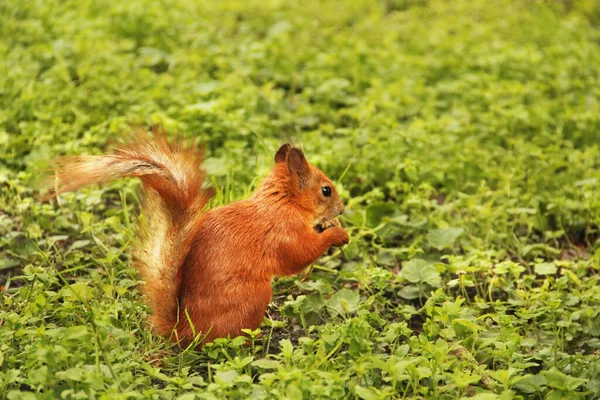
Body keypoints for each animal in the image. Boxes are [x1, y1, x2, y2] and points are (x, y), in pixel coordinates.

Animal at [47, 130, 350, 346]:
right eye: (326, 190)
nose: (342, 209)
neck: (282, 202)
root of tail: (182, 330)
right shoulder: (283, 231)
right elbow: (299, 255)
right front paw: (337, 233)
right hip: (255, 295)